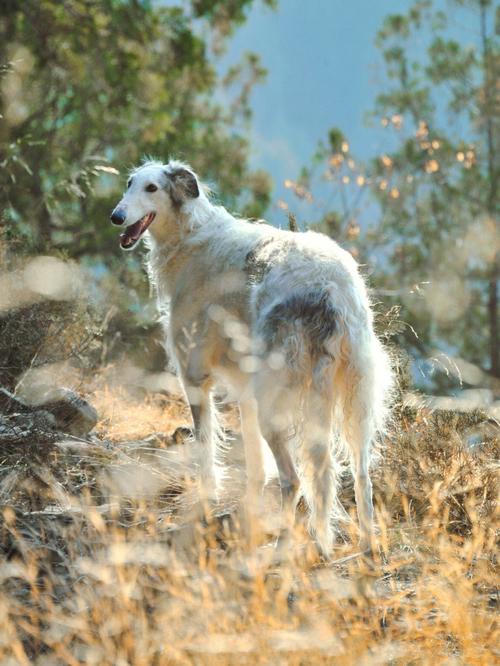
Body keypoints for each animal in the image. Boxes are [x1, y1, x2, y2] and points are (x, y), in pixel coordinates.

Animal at [110, 158, 394, 552]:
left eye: (151, 188)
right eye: (129, 183)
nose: (116, 217)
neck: (192, 236)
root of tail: (327, 291)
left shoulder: (194, 375)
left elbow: (205, 452)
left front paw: (207, 503)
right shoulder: (245, 390)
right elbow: (256, 469)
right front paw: (248, 515)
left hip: (278, 400)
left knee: (294, 479)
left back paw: (282, 548)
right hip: (355, 399)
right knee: (361, 475)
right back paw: (366, 546)